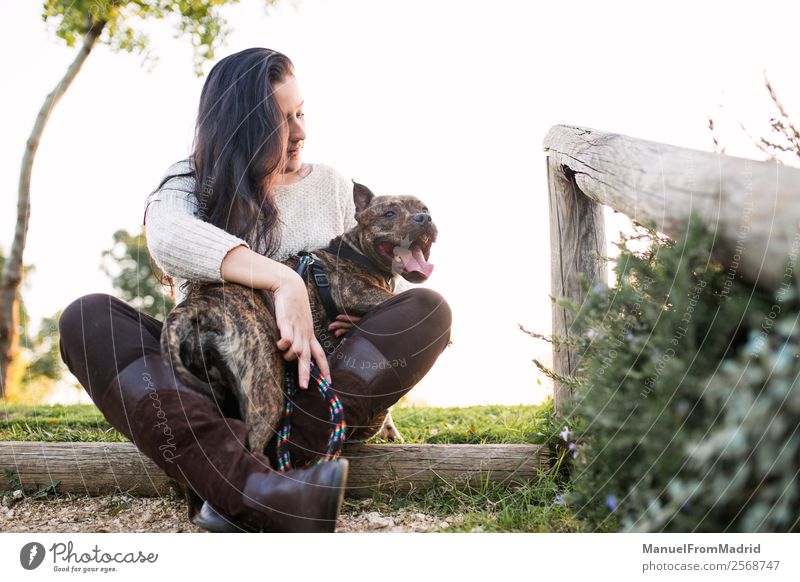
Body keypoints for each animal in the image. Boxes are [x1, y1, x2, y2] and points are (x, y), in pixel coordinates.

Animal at [159, 182, 438, 456]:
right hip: (265, 387)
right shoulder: (357, 291)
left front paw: (390, 431)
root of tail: (199, 305)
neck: (357, 250)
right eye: (389, 213)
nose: (424, 217)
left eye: (424, 208)